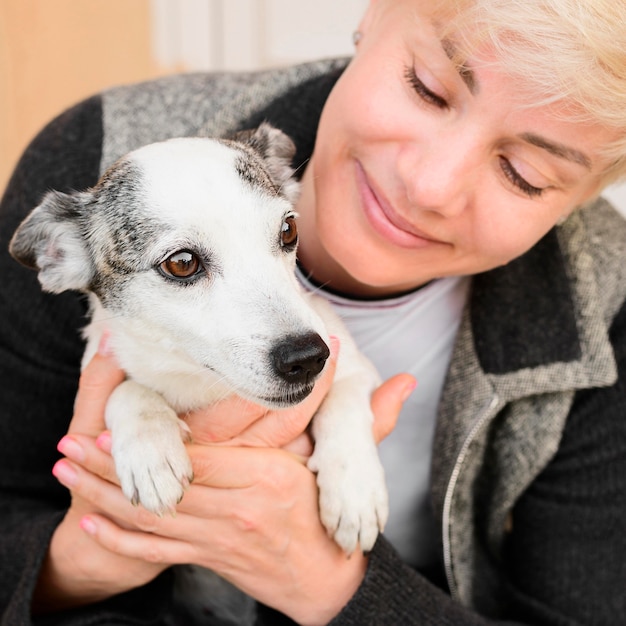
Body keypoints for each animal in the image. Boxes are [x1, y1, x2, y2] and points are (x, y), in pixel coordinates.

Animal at [11, 122, 386, 620]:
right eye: (182, 263)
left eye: (288, 230)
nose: (308, 356)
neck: (203, 384)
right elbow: (128, 391)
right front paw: (150, 451)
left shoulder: (353, 364)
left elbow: (343, 401)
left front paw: (354, 491)